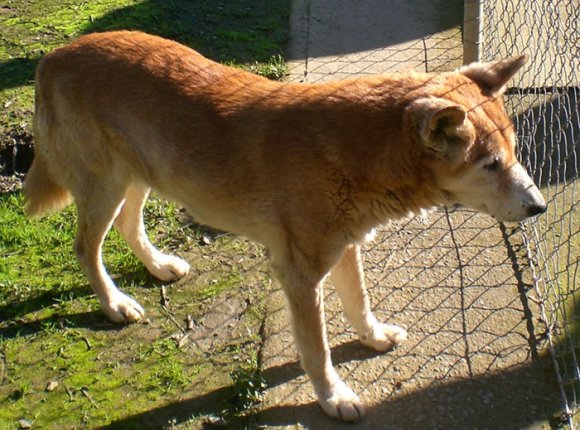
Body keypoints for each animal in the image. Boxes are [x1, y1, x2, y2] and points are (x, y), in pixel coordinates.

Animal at [23, 31, 548, 422]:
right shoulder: (300, 275)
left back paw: (158, 267)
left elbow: (359, 301)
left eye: (514, 151)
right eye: (491, 165)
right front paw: (333, 397)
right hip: (104, 185)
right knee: (86, 247)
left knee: (130, 226)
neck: (361, 153)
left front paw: (372, 335)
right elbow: (317, 349)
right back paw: (114, 303)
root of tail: (54, 56)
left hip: (139, 176)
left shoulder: (345, 246)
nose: (540, 207)